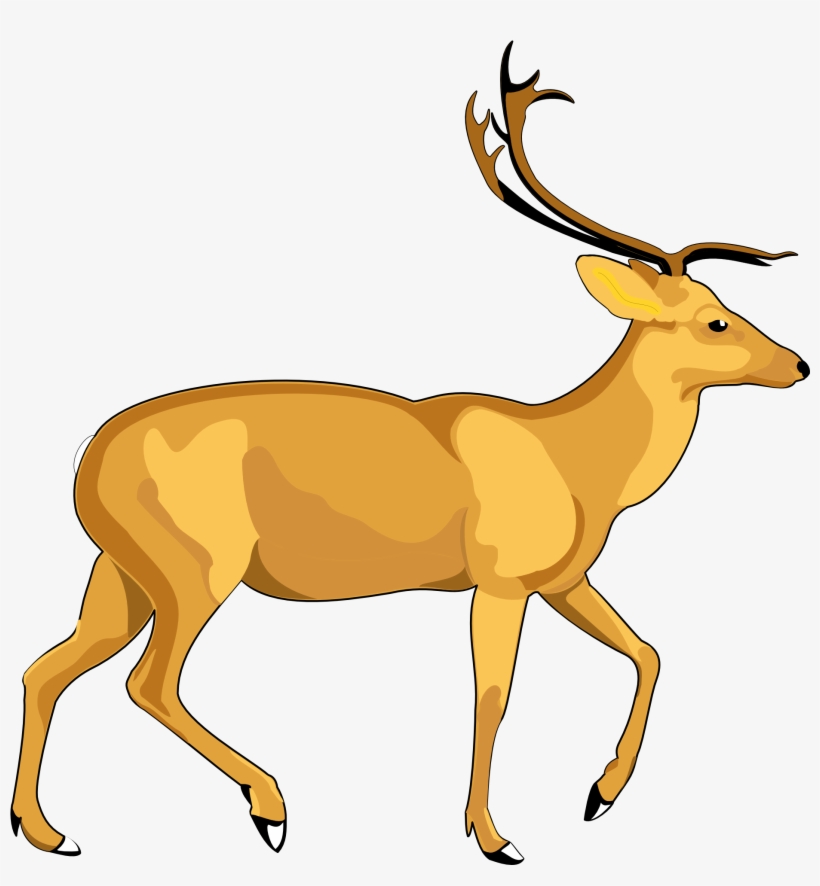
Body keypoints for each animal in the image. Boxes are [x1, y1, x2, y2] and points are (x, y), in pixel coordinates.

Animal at [11, 42, 809, 866]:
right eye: (716, 321)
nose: (798, 365)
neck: (576, 460)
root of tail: (86, 463)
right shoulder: (501, 579)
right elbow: (495, 695)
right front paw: (494, 838)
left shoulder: (562, 579)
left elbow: (648, 650)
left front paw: (598, 796)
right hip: (196, 568)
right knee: (148, 682)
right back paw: (271, 809)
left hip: (122, 573)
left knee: (46, 668)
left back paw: (48, 832)